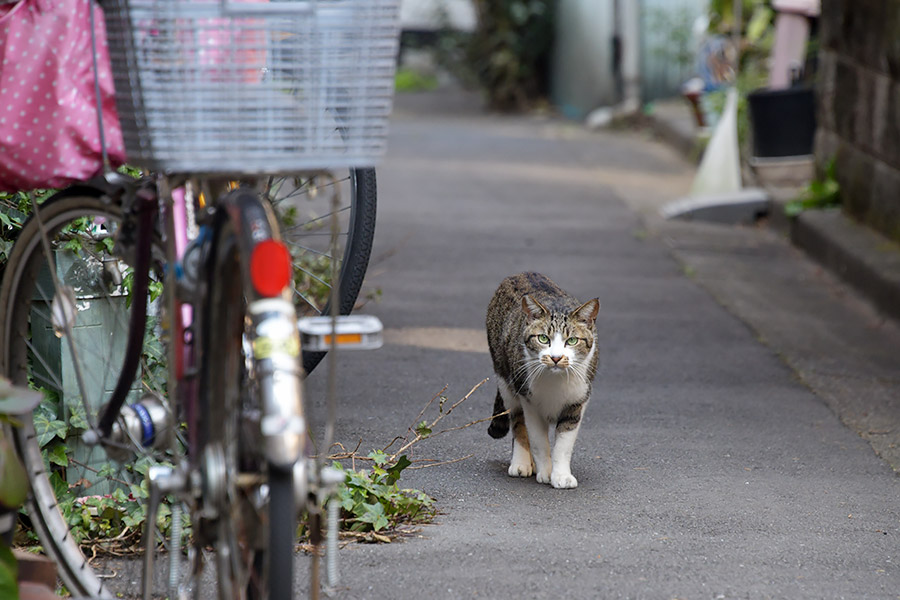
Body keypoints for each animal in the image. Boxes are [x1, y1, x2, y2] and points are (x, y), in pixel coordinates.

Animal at [486, 274, 596, 490]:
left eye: (572, 341)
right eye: (543, 338)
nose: (556, 357)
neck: (555, 381)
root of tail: (520, 274)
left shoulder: (577, 402)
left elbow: (563, 445)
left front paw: (561, 475)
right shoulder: (530, 402)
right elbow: (538, 441)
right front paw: (545, 471)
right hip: (506, 380)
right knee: (518, 422)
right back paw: (521, 463)